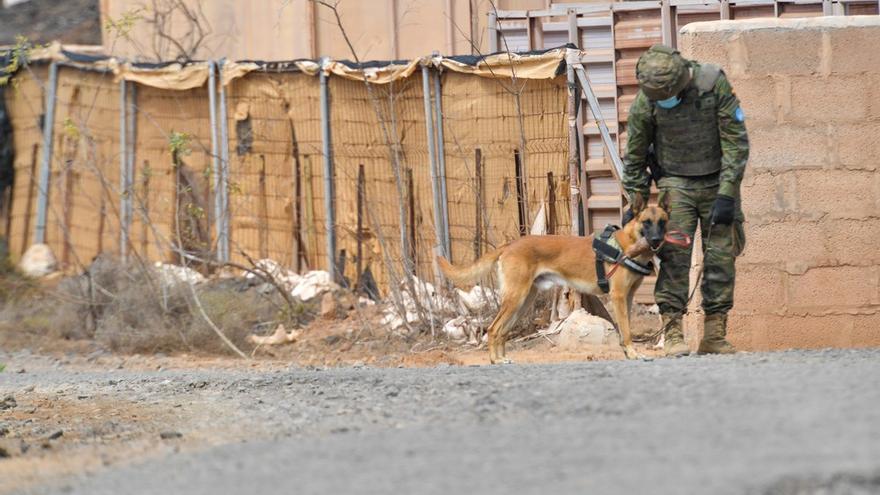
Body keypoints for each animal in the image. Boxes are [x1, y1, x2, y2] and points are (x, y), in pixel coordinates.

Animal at [436, 198, 672, 364]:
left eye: (662, 222)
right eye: (646, 223)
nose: (656, 240)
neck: (628, 244)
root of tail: (510, 245)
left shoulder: (628, 297)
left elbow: (625, 328)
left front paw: (627, 351)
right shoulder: (619, 296)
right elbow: (627, 329)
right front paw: (632, 353)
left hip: (523, 301)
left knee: (502, 331)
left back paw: (502, 358)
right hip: (516, 298)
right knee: (493, 329)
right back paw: (495, 360)